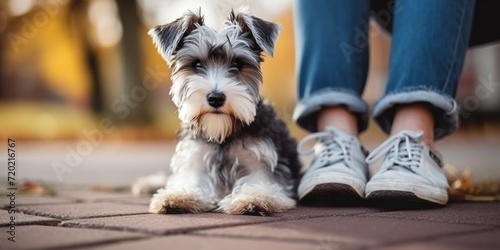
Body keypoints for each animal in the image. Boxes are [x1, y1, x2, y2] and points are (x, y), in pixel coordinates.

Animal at [137, 7, 300, 215]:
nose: (215, 98)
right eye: (197, 64)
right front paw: (180, 196)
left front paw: (253, 198)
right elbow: (191, 181)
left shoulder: (261, 161)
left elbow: (260, 182)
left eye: (237, 64)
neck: (223, 134)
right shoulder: (196, 158)